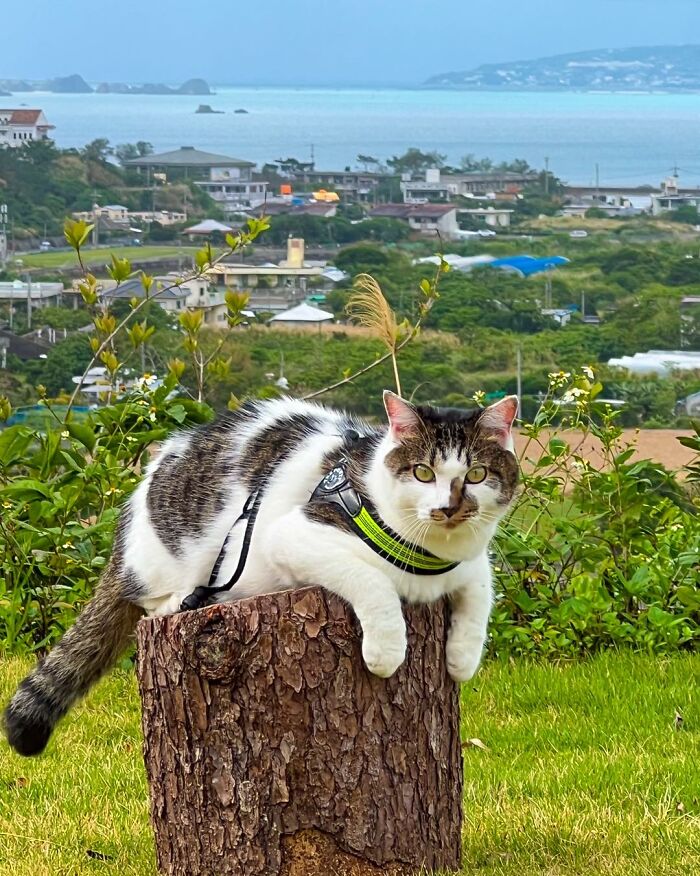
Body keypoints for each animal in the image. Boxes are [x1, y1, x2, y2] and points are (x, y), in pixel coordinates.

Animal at [2, 390, 520, 752]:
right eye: (422, 473)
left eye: (476, 476)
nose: (449, 507)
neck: (429, 559)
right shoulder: (290, 535)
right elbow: (373, 582)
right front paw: (387, 651)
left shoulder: (472, 561)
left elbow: (480, 592)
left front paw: (462, 658)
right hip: (174, 555)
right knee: (150, 597)